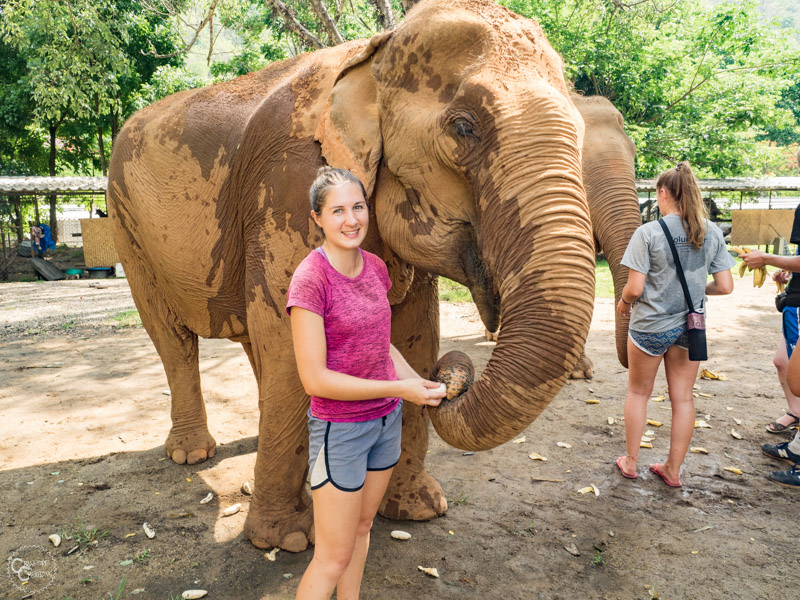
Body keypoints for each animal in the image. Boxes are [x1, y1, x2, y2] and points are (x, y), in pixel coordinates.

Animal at [104, 0, 592, 552]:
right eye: (464, 127)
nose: (453, 379)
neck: (374, 57)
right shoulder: (290, 186)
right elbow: (291, 343)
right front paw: (287, 542)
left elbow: (414, 332)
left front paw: (419, 510)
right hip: (127, 226)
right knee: (175, 339)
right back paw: (192, 454)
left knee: (254, 337)